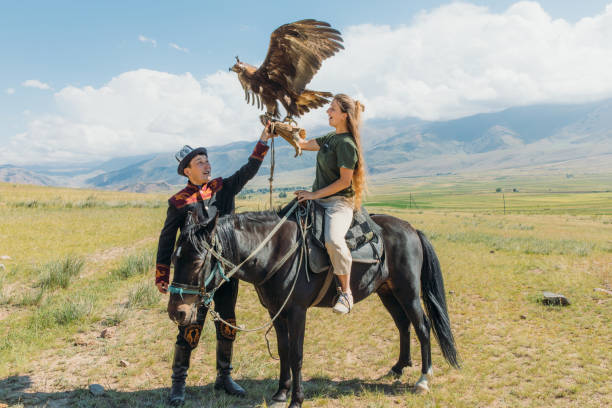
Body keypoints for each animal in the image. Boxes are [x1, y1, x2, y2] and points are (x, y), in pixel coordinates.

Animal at [167, 210, 460, 408]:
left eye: (197, 262)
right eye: (173, 258)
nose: (177, 312)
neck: (275, 251)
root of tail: (412, 229)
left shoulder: (297, 311)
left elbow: (296, 354)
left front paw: (296, 399)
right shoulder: (276, 312)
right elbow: (284, 352)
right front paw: (280, 393)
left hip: (408, 291)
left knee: (422, 327)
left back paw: (423, 379)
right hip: (387, 291)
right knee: (403, 324)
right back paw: (399, 367)